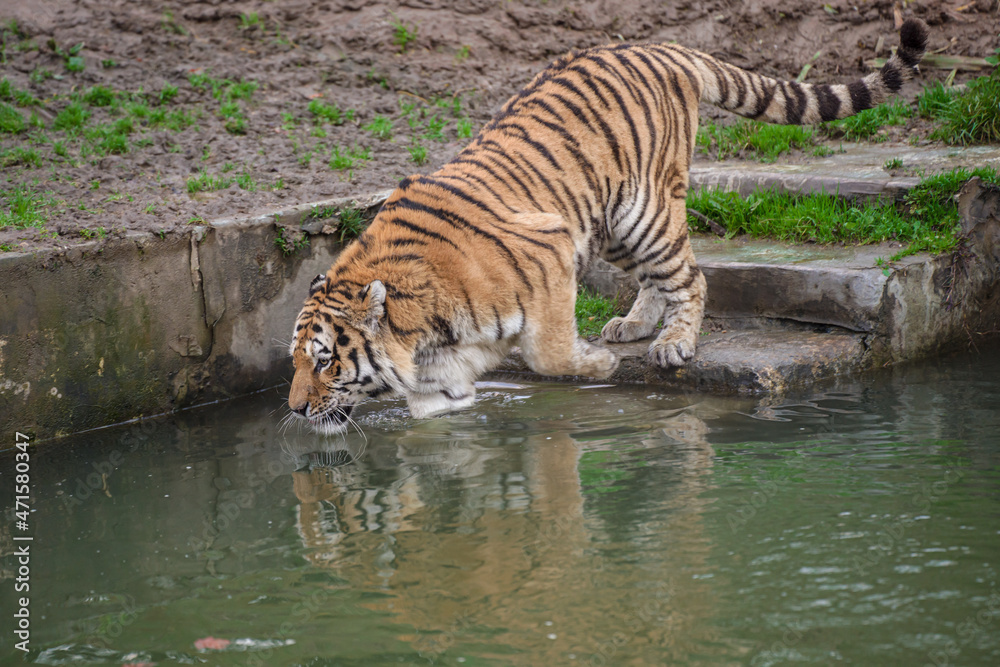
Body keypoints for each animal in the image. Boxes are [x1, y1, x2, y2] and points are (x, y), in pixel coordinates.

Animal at [288, 19, 928, 434]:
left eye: (324, 359)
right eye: (294, 360)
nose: (294, 409)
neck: (421, 328)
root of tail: (658, 46)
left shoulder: (547, 249)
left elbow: (547, 353)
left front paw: (599, 367)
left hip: (643, 211)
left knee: (690, 277)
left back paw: (671, 343)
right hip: (612, 225)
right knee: (657, 278)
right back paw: (635, 324)